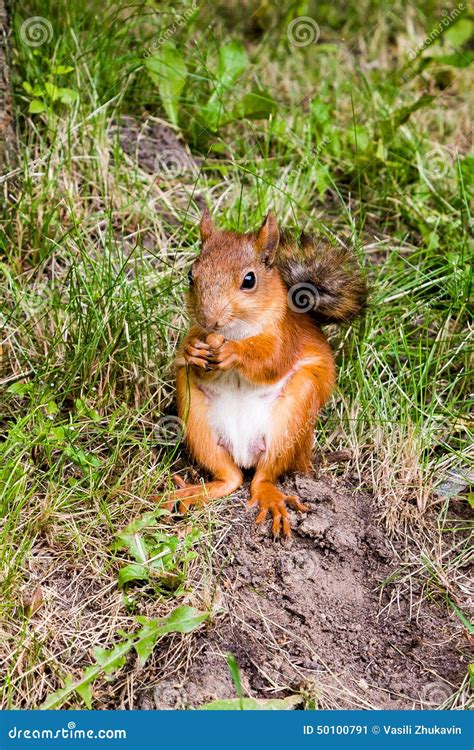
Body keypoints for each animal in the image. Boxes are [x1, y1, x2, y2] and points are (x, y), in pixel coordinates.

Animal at [163, 209, 366, 536]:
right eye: (190, 275)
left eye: (249, 280)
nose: (209, 318)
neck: (235, 331)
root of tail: (244, 453)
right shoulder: (198, 332)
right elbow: (193, 356)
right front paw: (192, 351)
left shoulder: (285, 337)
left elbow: (270, 361)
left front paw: (235, 353)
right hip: (195, 417)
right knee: (231, 478)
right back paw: (193, 493)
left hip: (293, 417)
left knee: (263, 476)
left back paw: (270, 497)